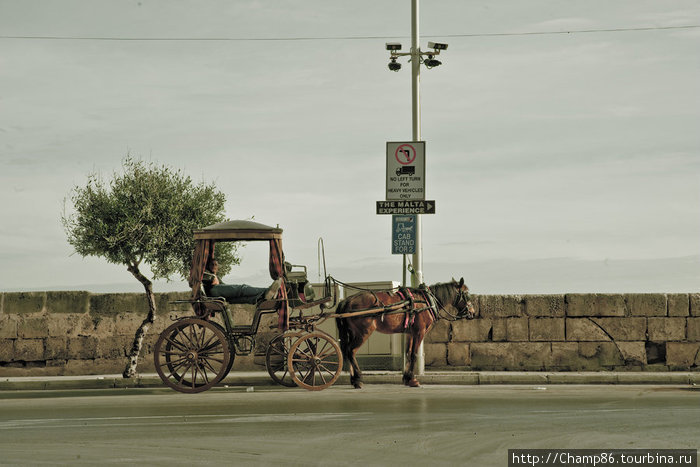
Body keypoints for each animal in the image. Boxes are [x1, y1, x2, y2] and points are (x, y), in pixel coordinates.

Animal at [334, 276, 476, 390]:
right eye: (467, 294)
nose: (472, 313)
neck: (425, 301)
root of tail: (347, 301)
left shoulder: (410, 333)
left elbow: (408, 353)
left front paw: (407, 378)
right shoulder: (419, 332)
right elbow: (414, 354)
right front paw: (413, 379)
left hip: (353, 333)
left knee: (347, 351)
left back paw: (353, 379)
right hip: (363, 333)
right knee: (351, 351)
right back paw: (358, 379)